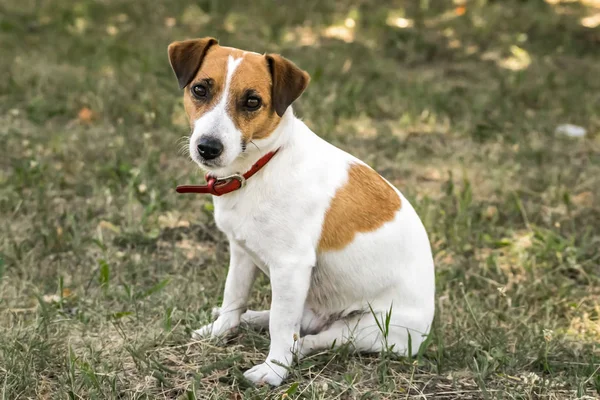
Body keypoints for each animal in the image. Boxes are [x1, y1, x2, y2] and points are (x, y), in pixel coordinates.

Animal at [166, 38, 434, 388]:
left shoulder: (291, 267)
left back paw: (292, 351)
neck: (263, 164)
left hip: (371, 329)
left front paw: (273, 370)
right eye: (200, 89)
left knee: (311, 337)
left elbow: (281, 327)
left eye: (252, 101)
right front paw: (220, 331)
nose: (208, 148)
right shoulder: (241, 253)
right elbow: (233, 297)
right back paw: (253, 317)